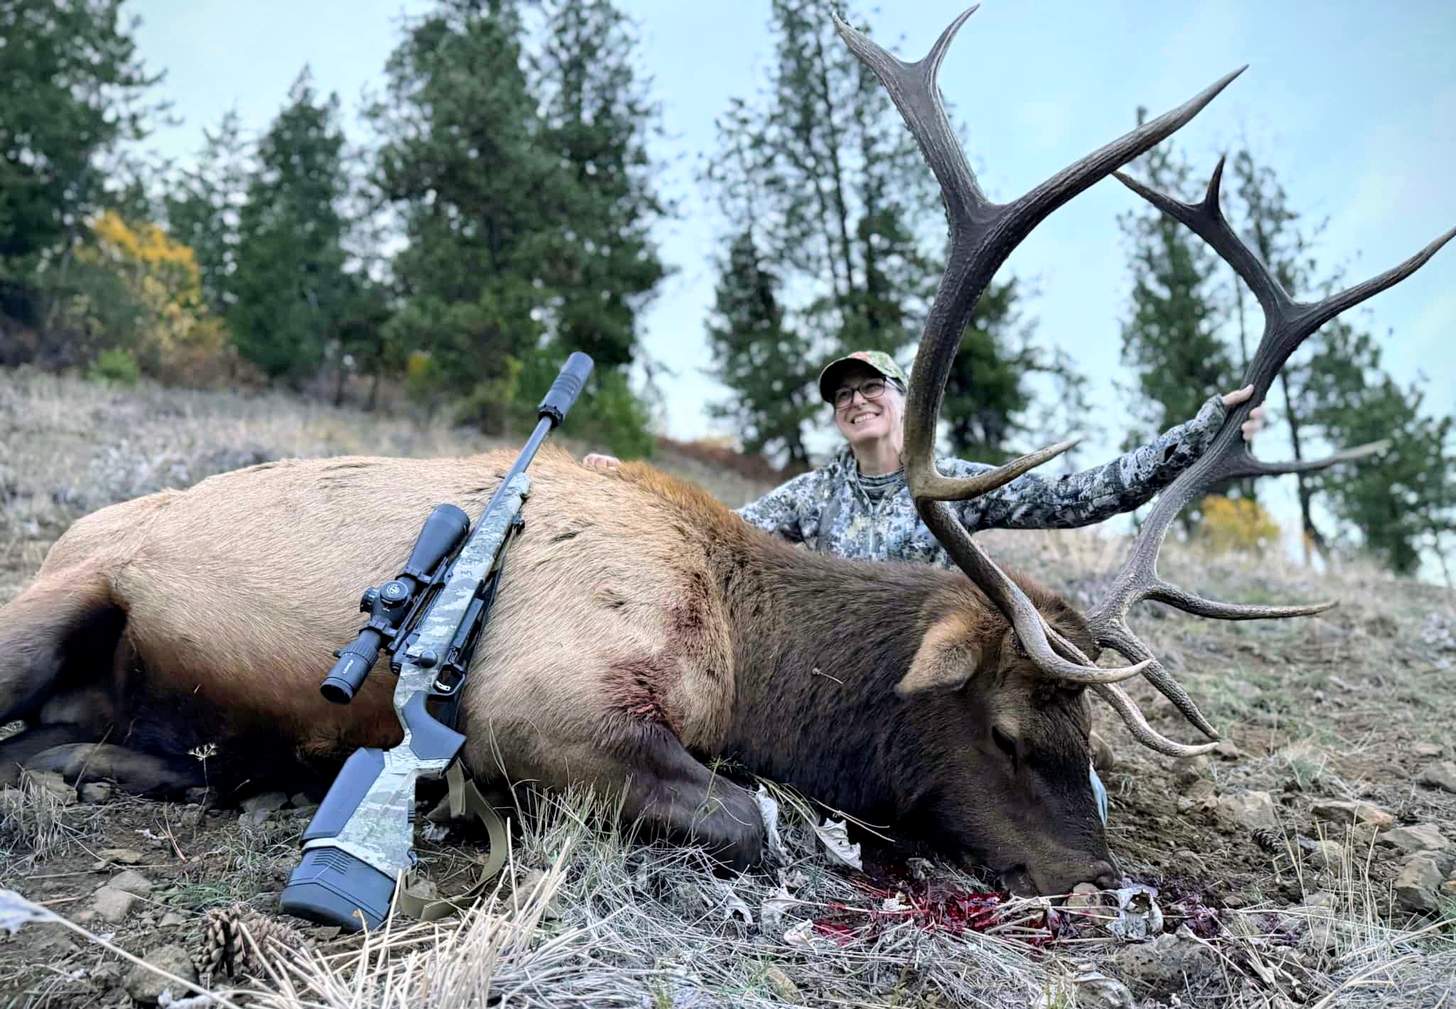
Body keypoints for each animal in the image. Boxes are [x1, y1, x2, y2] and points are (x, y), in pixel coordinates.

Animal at [0, 8, 1448, 897]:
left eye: (1092, 727)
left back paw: (122, 760)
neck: (757, 657)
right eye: (1010, 721)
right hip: (58, 591)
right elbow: (759, 817)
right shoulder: (540, 700)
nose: (1097, 877)